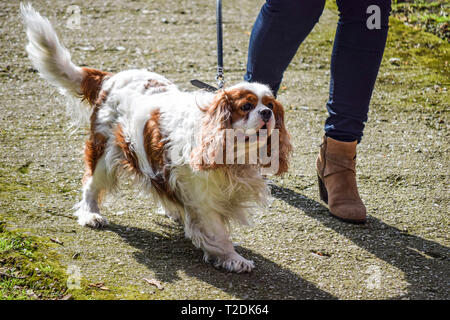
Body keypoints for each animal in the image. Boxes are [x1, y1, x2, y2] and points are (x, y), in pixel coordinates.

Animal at [21, 3, 292, 272]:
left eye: (270, 104)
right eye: (246, 107)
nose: (266, 113)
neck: (233, 155)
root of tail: (110, 77)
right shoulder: (204, 198)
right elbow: (217, 233)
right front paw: (232, 258)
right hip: (105, 150)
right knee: (91, 182)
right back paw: (90, 214)